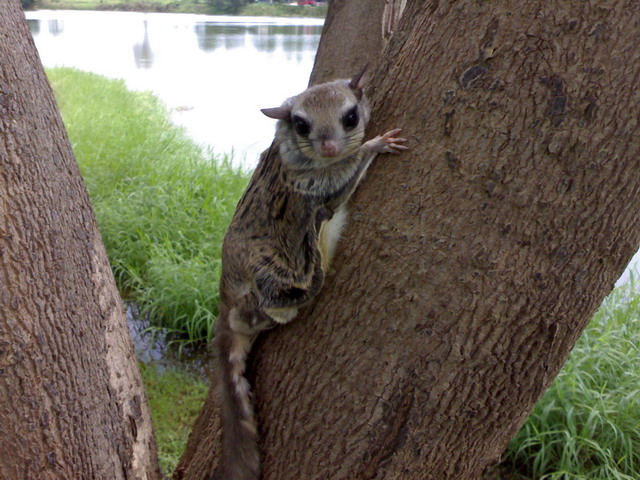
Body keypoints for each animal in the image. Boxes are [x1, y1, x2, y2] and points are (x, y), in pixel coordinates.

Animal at [212, 68, 408, 480]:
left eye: (350, 116)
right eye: (302, 125)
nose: (331, 148)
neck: (298, 152)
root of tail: (227, 295)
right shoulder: (314, 187)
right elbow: (344, 177)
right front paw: (376, 144)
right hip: (279, 278)